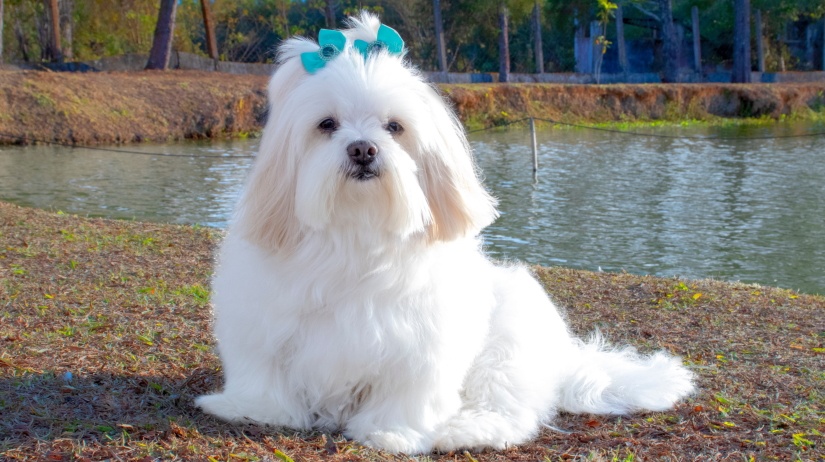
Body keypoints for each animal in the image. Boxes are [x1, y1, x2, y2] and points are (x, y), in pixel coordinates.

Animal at [195, 12, 696, 452]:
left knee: (508, 412)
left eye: (394, 127)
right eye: (327, 125)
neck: (357, 231)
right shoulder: (264, 326)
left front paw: (392, 434)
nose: (363, 149)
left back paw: (463, 431)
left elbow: (407, 395)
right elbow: (264, 376)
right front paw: (254, 410)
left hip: (506, 350)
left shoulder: (420, 345)